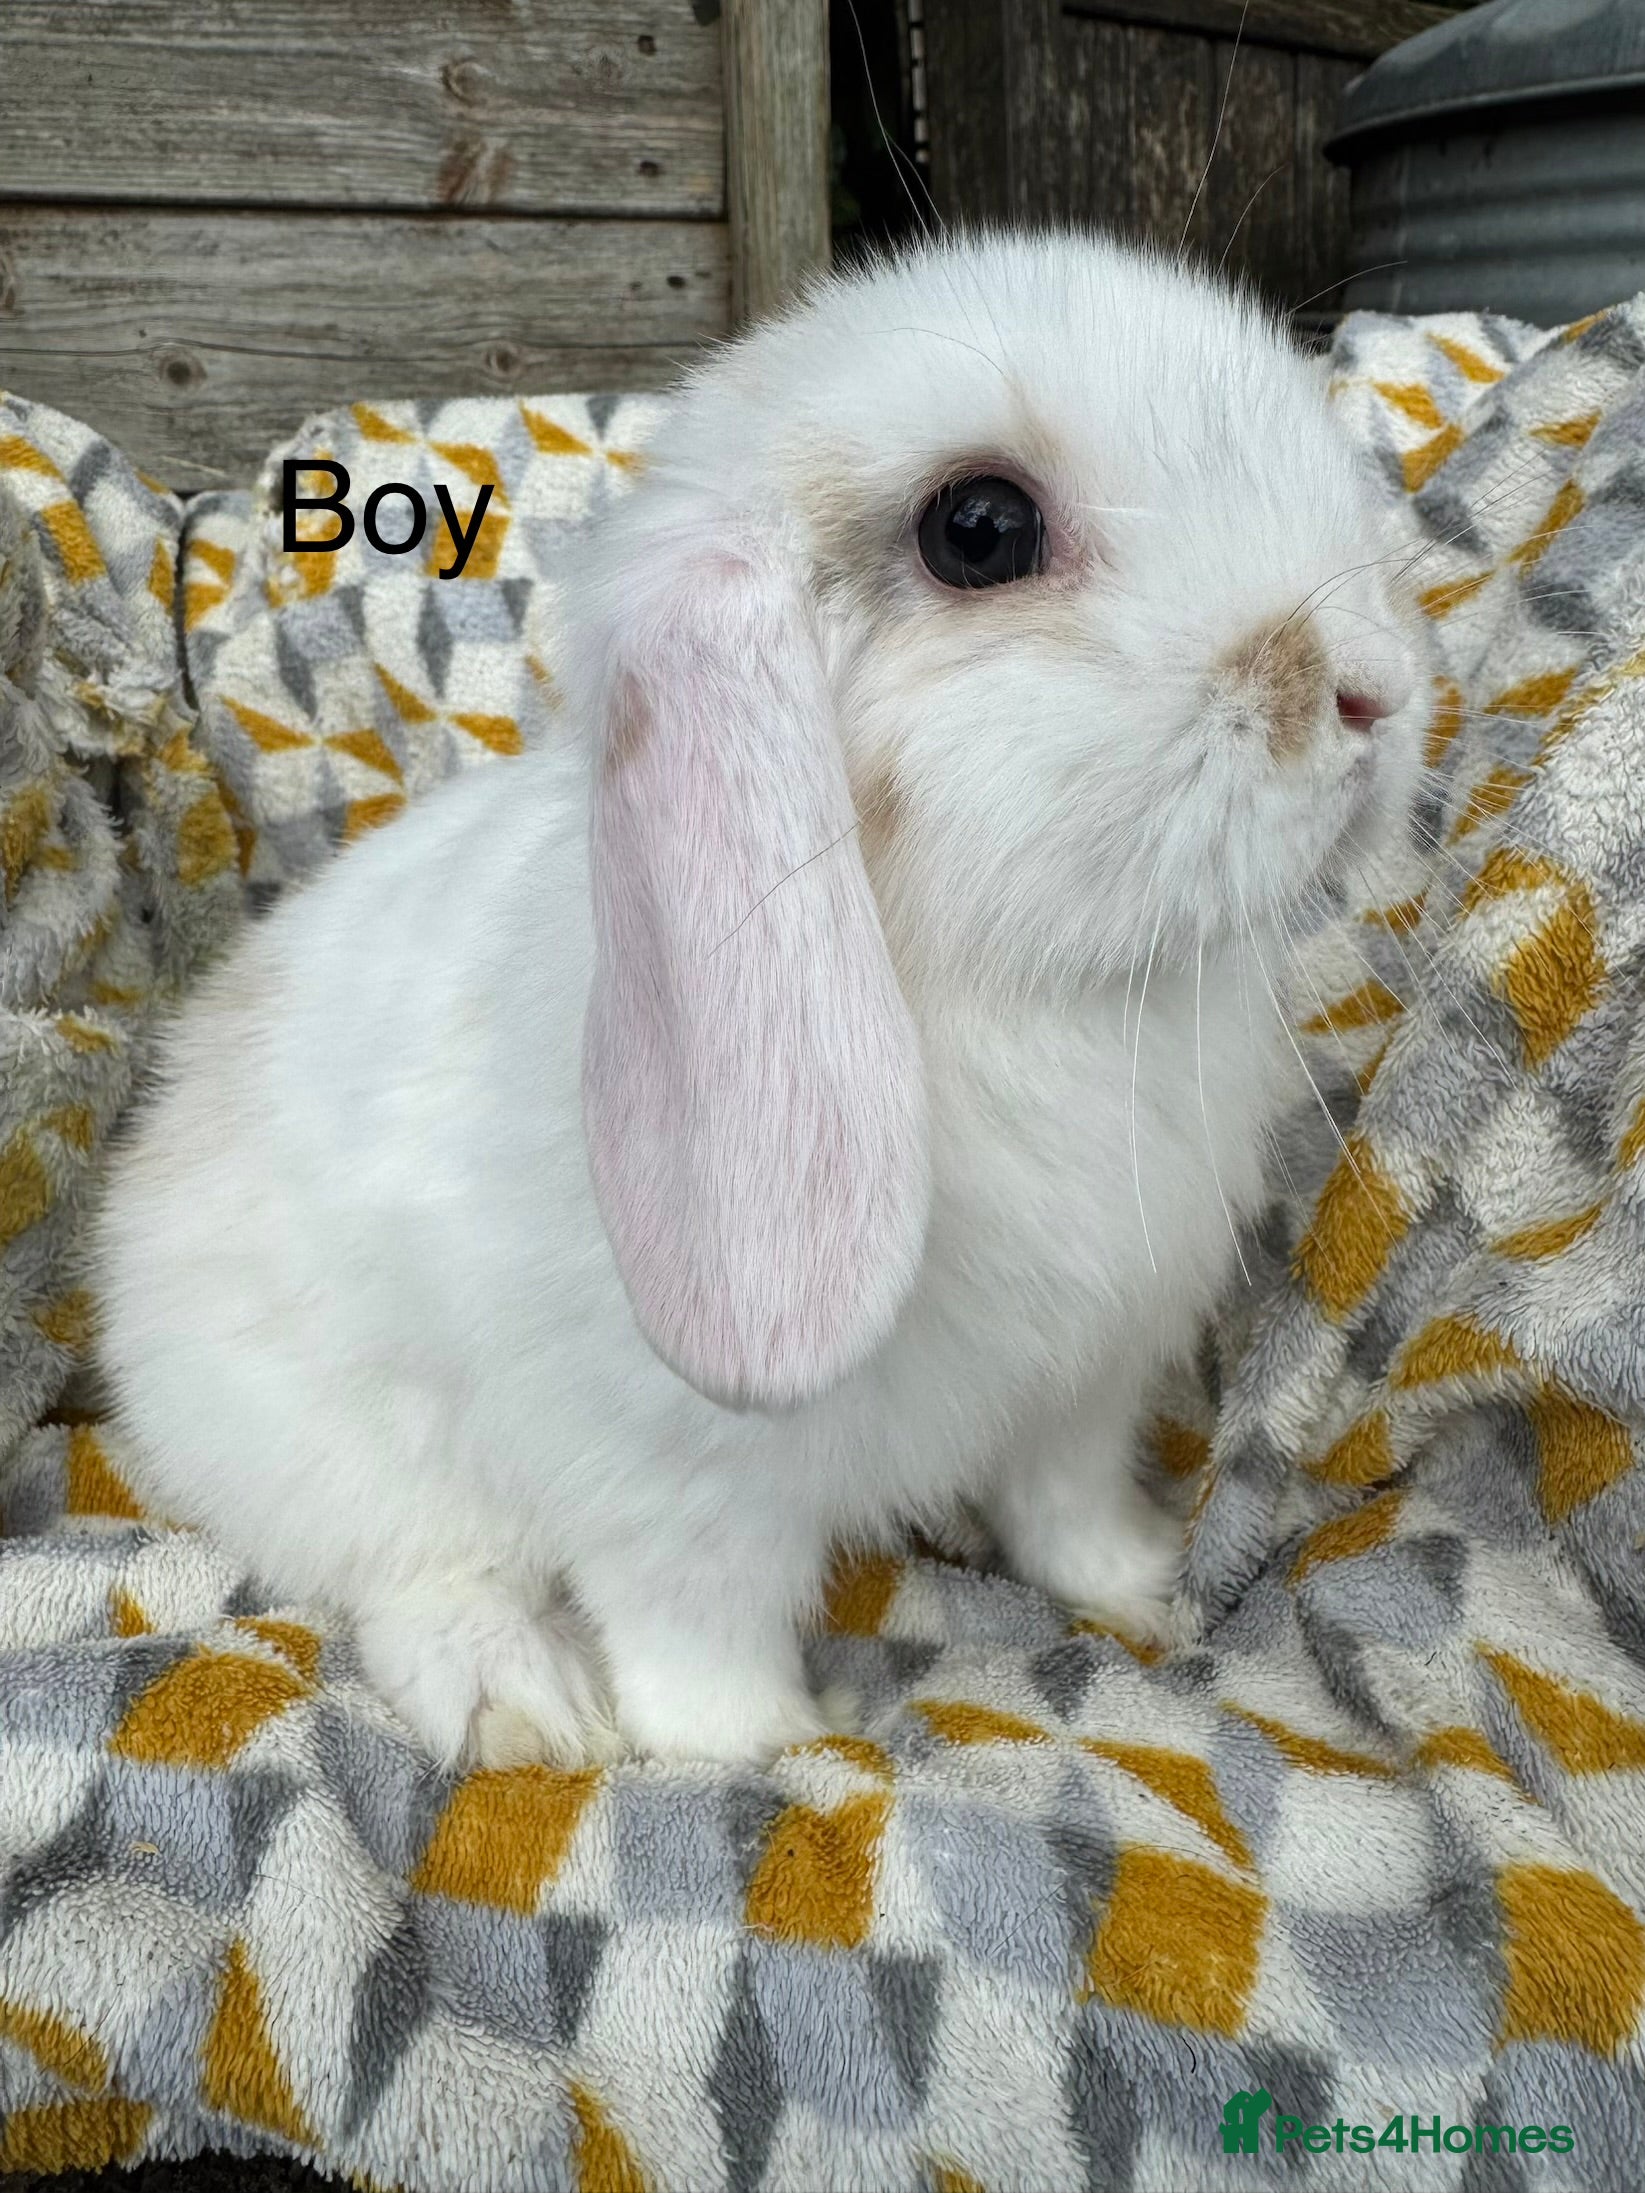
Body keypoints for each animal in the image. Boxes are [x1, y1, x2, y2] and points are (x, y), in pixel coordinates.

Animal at [94, 232, 1423, 1770]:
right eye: (979, 529)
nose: (1376, 689)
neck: (1017, 996)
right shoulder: (672, 1483)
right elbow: (697, 1636)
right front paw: (771, 1753)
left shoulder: (1081, 1383)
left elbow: (1068, 1511)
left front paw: (1149, 1593)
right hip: (342, 1443)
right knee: (413, 1569)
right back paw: (526, 1708)